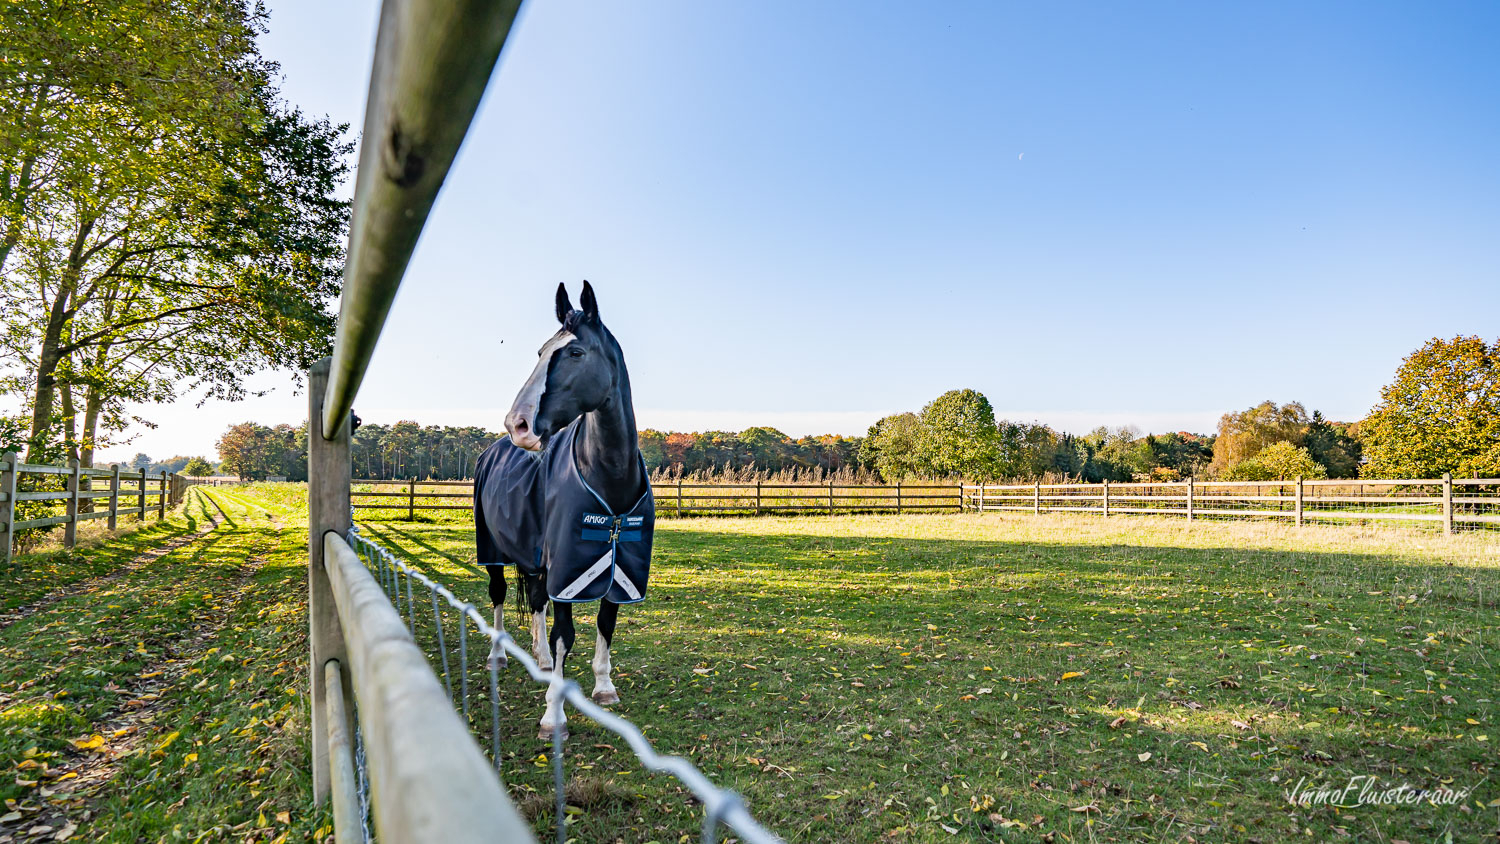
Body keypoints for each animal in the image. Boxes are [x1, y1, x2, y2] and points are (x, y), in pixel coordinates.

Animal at [471, 278, 654, 740]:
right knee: (499, 596)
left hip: (536, 557)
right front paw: (554, 715)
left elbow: (605, 623)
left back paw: (539, 659)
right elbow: (564, 633)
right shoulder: (569, 573)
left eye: (575, 353)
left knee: (536, 600)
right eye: (539, 352)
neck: (609, 479)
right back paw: (499, 655)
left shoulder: (619, 568)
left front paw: (604, 687)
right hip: (493, 550)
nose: (517, 424)